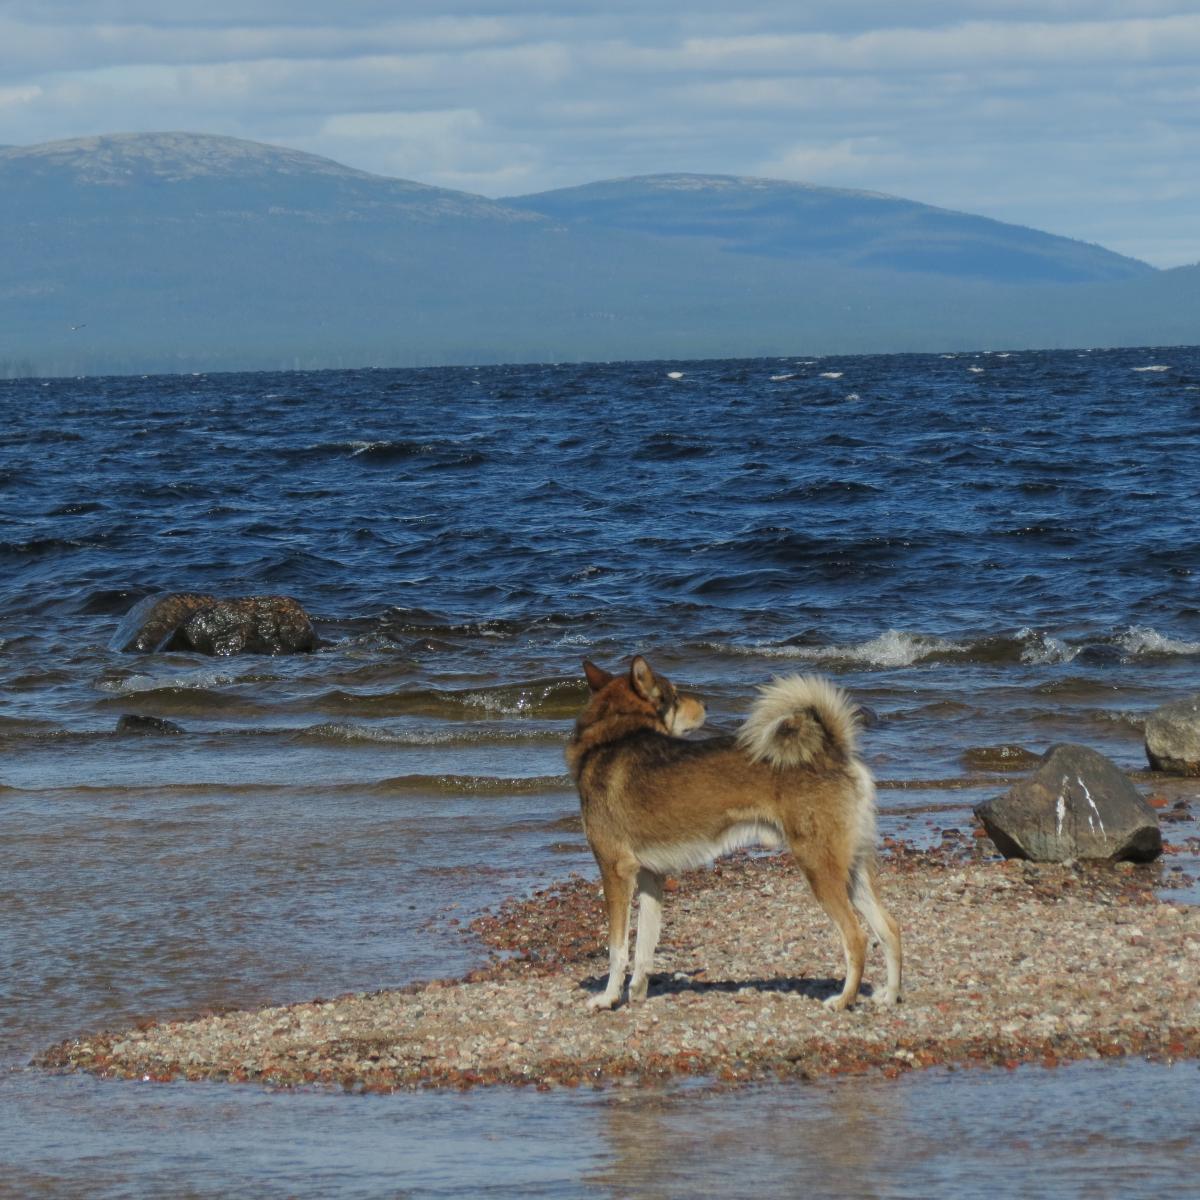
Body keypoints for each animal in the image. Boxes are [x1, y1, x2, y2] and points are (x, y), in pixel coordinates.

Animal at [561, 657, 902, 1012]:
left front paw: (608, 997)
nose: (706, 705)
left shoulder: (615, 871)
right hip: (851, 871)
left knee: (856, 937)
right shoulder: (650, 877)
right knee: (890, 929)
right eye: (675, 696)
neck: (610, 738)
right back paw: (889, 995)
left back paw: (843, 1000)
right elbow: (644, 946)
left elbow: (617, 949)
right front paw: (637, 993)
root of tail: (833, 750)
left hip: (819, 868)